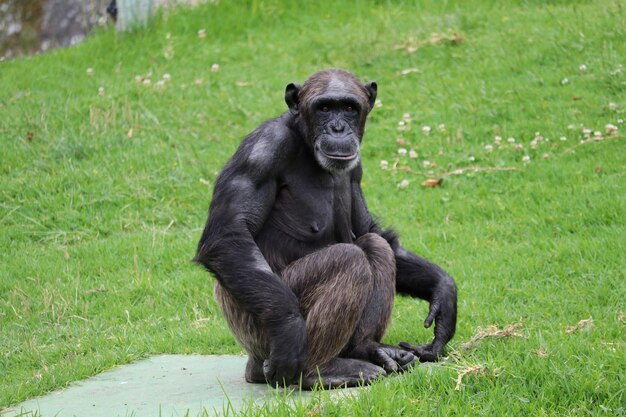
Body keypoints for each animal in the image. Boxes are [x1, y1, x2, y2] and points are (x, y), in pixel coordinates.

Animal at [193, 68, 456, 386]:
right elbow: (229, 233)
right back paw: (318, 371)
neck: (304, 142)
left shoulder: (356, 169)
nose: (338, 129)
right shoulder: (262, 151)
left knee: (374, 246)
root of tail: (250, 365)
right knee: (348, 259)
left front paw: (443, 292)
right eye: (325, 108)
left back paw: (369, 349)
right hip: (254, 331)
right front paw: (289, 333)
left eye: (350, 108)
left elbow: (369, 229)